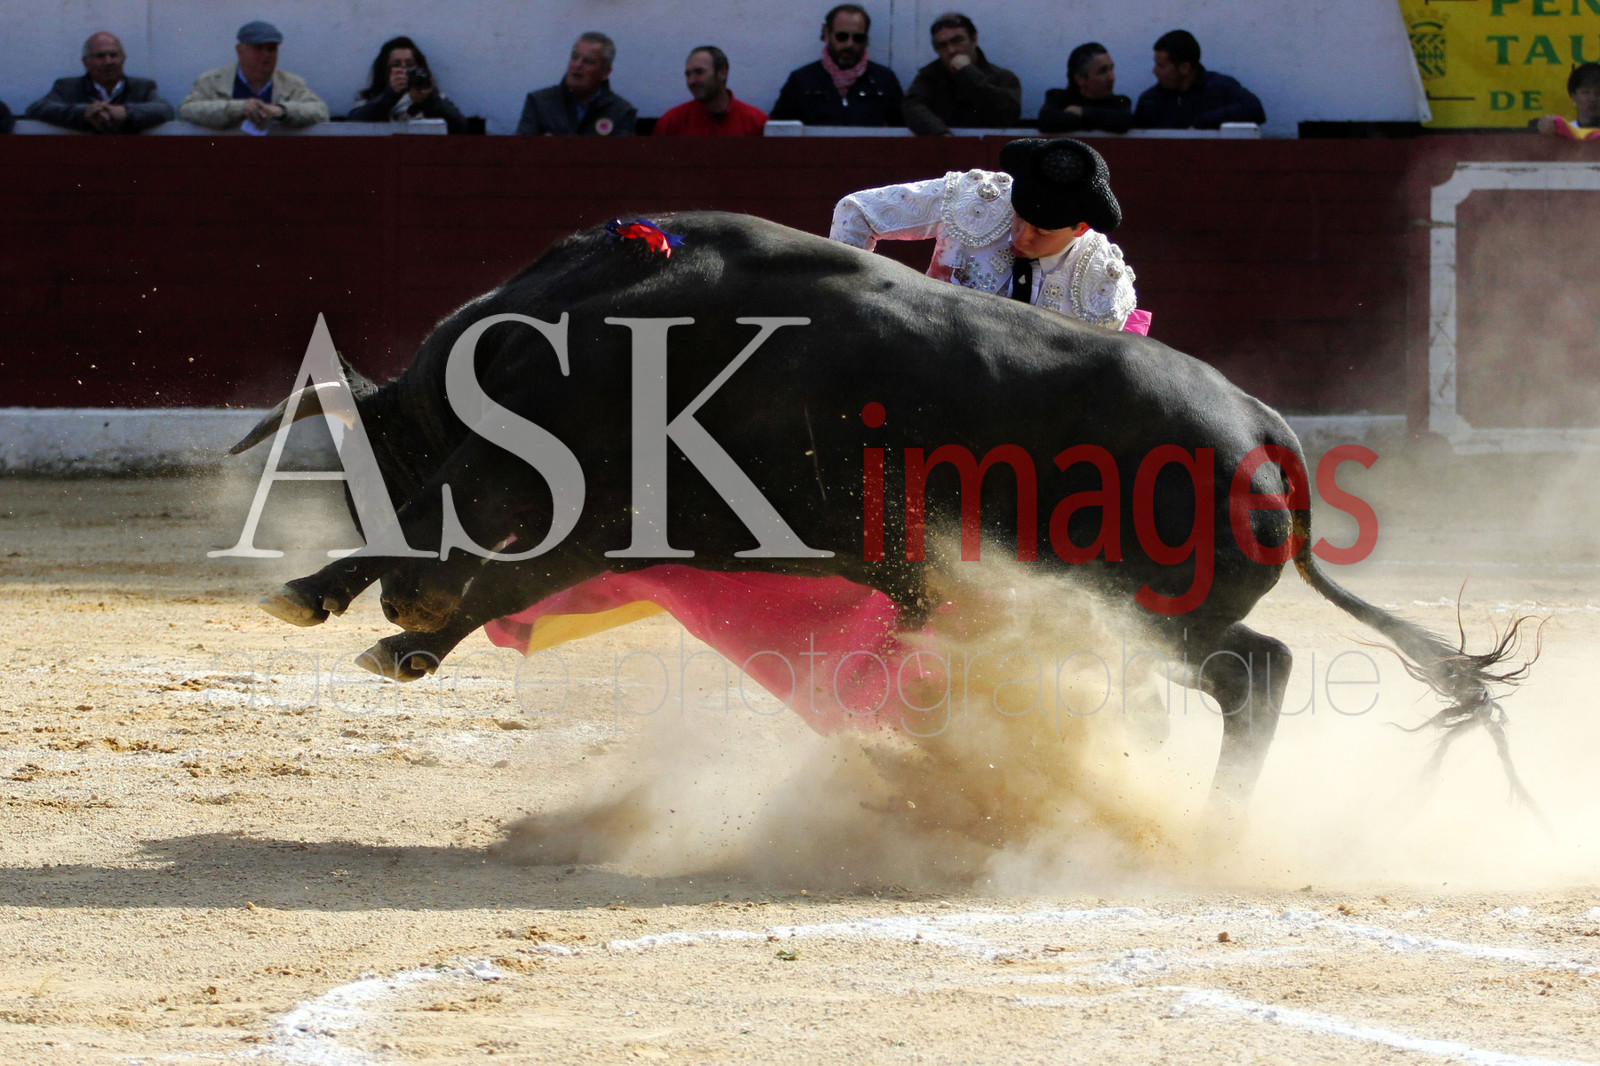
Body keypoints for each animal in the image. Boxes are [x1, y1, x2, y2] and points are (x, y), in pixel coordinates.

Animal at [226, 211, 1537, 810]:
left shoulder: (612, 507)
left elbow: (498, 556)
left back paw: (1208, 816)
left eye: (417, 454)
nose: (411, 593)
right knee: (1232, 679)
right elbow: (490, 565)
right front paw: (347, 605)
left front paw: (390, 629)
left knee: (1256, 673)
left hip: (1155, 610)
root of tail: (1261, 428)